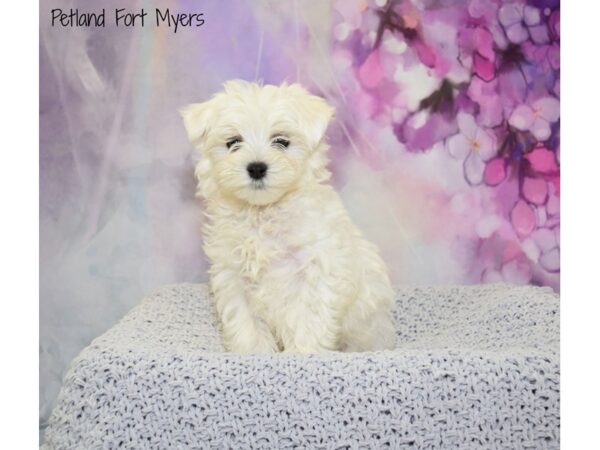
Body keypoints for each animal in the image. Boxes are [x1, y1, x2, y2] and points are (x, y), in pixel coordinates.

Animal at [183, 81, 398, 356]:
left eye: (281, 141)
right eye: (233, 142)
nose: (256, 168)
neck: (263, 212)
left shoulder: (314, 272)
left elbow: (307, 323)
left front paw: (302, 354)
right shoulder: (234, 279)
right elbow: (247, 327)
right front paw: (254, 354)